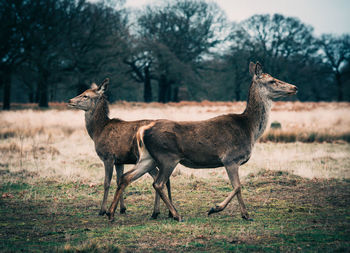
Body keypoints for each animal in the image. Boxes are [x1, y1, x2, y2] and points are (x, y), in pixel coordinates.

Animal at [67, 78, 172, 218]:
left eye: (86, 95)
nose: (70, 101)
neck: (97, 132)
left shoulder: (108, 157)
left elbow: (106, 183)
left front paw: (102, 210)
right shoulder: (119, 161)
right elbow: (118, 180)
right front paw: (122, 209)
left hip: (147, 158)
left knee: (158, 178)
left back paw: (156, 212)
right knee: (164, 178)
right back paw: (164, 212)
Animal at [106, 62, 298, 221]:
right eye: (272, 80)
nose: (294, 87)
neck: (249, 129)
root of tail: (142, 130)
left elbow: (237, 187)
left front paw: (246, 215)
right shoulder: (230, 158)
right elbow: (238, 186)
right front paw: (216, 209)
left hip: (148, 157)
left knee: (125, 177)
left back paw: (111, 213)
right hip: (168, 156)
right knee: (158, 183)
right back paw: (176, 215)